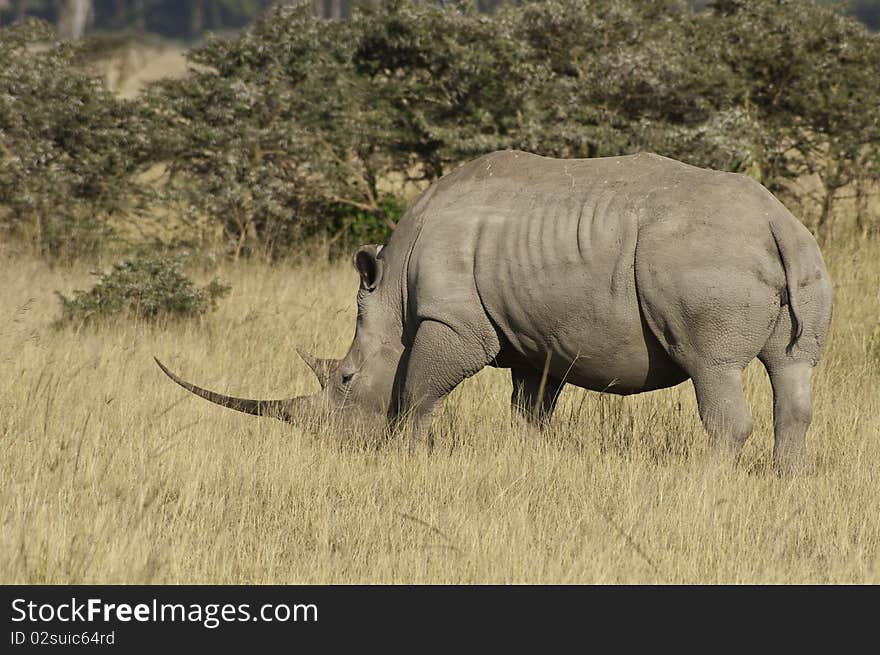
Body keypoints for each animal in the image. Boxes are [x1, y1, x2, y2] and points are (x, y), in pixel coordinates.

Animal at [156, 152, 832, 472]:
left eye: (344, 380)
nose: (337, 447)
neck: (392, 291)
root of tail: (778, 221)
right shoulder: (540, 338)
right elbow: (529, 408)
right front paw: (533, 457)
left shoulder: (453, 322)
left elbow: (417, 390)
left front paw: (407, 456)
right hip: (804, 258)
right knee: (792, 370)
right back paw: (788, 481)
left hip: (702, 260)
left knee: (710, 365)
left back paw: (705, 482)